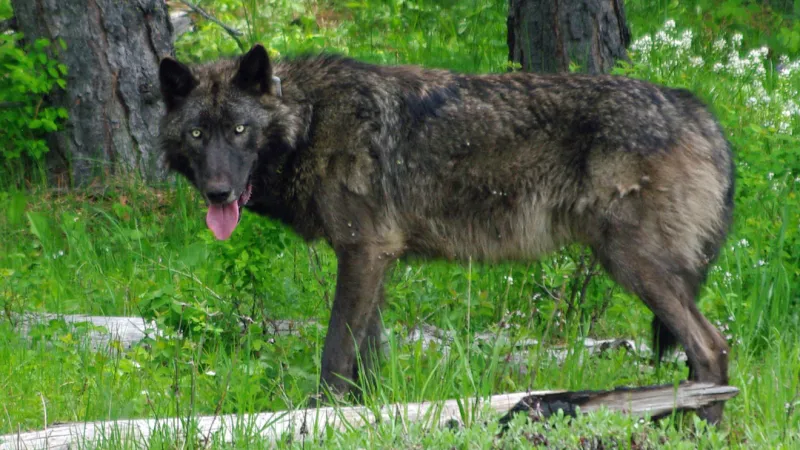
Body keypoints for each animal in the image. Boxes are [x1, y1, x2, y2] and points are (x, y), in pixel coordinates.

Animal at [159, 44, 735, 423]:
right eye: (197, 133)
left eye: (240, 130)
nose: (218, 193)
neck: (311, 122)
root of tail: (699, 110)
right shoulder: (375, 258)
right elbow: (367, 358)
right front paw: (363, 419)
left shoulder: (362, 251)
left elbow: (334, 353)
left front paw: (321, 418)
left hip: (631, 265)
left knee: (712, 349)